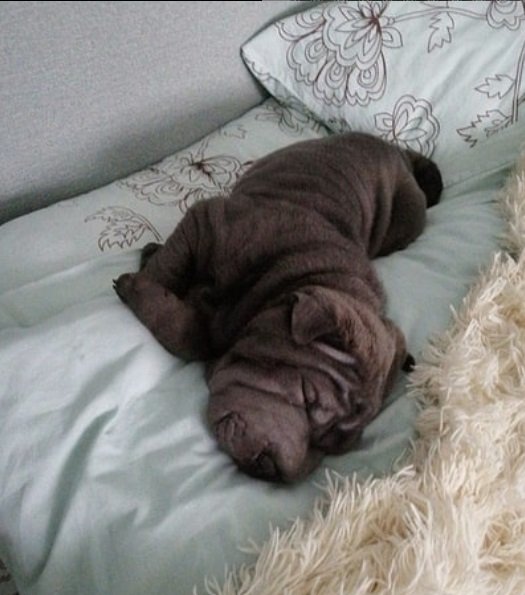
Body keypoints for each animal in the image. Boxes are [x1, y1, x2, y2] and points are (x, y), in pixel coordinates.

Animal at [112, 132, 440, 484]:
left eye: (333, 446)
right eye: (307, 396)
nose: (274, 470)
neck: (278, 284)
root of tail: (397, 150)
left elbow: (196, 334)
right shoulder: (208, 222)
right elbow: (175, 289)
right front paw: (141, 280)